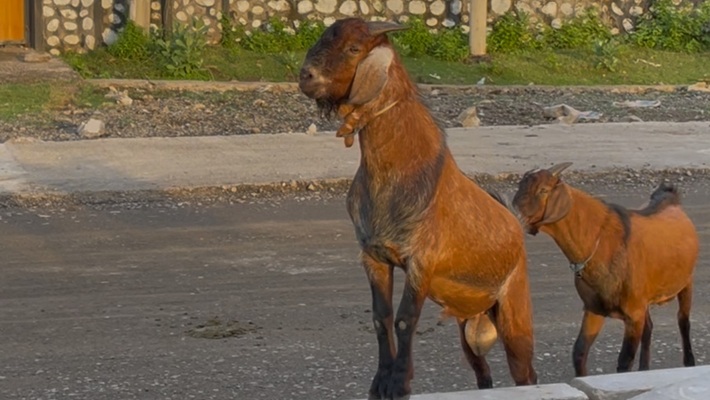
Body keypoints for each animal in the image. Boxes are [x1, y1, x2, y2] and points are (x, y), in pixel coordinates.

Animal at [298, 18, 537, 399]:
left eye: (353, 48)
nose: (306, 76)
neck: (398, 169)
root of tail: (516, 226)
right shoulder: (374, 256)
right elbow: (380, 318)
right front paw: (379, 382)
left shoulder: (421, 261)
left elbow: (404, 319)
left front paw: (399, 383)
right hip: (468, 326)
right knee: (483, 374)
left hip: (514, 306)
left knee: (525, 372)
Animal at [512, 162, 698, 377]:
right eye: (520, 186)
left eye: (543, 190)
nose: (515, 216)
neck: (603, 243)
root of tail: (671, 199)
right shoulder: (594, 307)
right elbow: (579, 352)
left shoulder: (633, 312)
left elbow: (624, 361)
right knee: (649, 327)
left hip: (686, 282)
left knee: (683, 321)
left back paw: (689, 362)